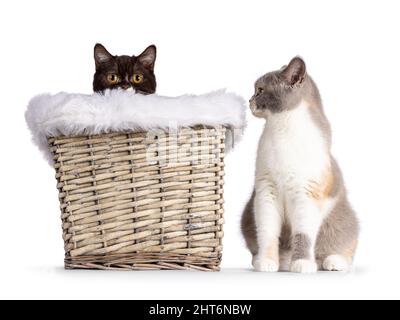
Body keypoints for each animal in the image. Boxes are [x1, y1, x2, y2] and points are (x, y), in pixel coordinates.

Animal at [241, 57, 360, 272]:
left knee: (340, 248)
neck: (282, 128)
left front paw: (302, 263)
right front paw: (267, 261)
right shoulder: (266, 190)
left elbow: (303, 234)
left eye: (260, 90)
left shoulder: (307, 193)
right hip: (247, 214)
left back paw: (331, 262)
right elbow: (267, 231)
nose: (249, 100)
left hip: (342, 221)